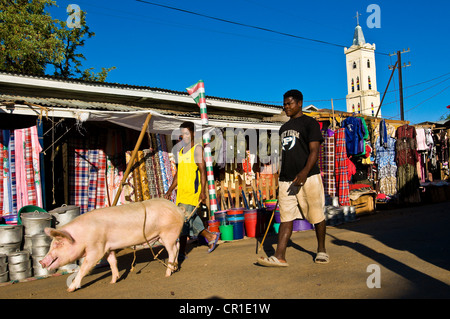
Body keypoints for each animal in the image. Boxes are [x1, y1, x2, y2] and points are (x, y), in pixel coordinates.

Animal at [38, 199, 185, 294]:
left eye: (58, 244)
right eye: (51, 244)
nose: (41, 261)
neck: (81, 235)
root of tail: (177, 209)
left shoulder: (96, 248)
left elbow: (85, 267)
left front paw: (69, 289)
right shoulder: (108, 248)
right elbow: (112, 262)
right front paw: (113, 282)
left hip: (168, 233)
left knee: (172, 251)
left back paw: (167, 274)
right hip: (164, 236)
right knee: (177, 246)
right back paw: (175, 268)